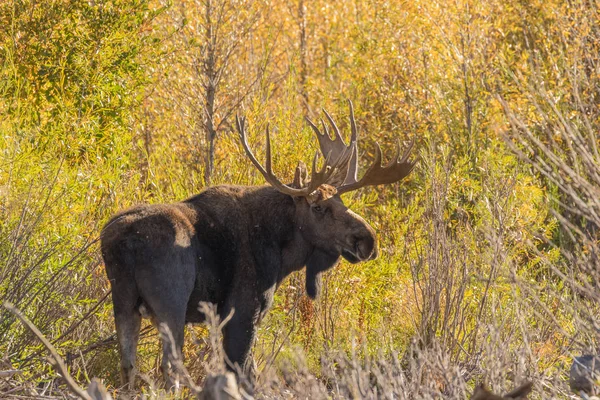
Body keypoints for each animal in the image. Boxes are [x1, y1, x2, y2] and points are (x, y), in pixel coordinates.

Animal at [101, 101, 414, 390]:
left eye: (341, 201)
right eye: (318, 207)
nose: (368, 240)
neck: (280, 253)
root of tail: (120, 242)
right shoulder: (243, 309)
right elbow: (244, 372)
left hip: (124, 302)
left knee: (127, 364)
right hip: (170, 303)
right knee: (170, 366)